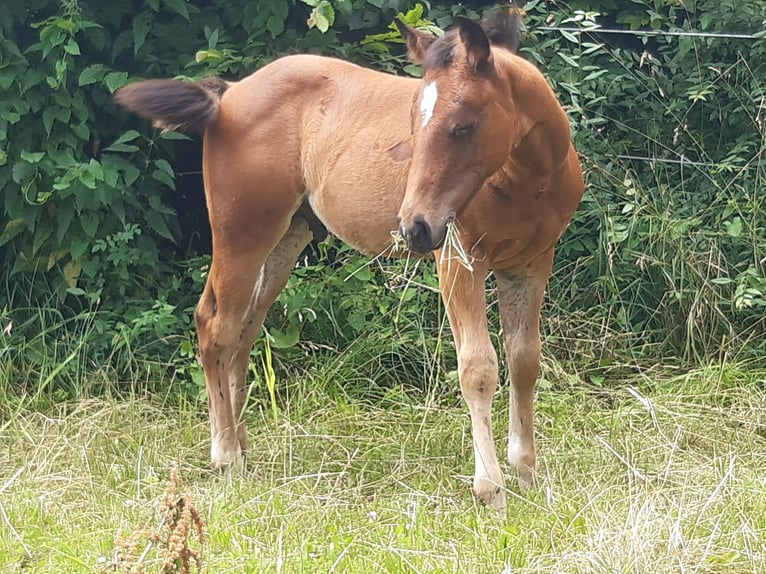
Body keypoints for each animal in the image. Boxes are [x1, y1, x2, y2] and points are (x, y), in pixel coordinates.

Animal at [114, 7, 584, 512]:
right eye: (413, 126)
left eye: (463, 125)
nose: (415, 227)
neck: (526, 181)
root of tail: (228, 94)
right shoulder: (460, 261)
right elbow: (478, 367)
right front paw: (490, 488)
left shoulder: (531, 265)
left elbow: (525, 361)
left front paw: (527, 472)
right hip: (242, 233)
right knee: (215, 325)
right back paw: (225, 456)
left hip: (287, 238)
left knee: (244, 331)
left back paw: (242, 447)